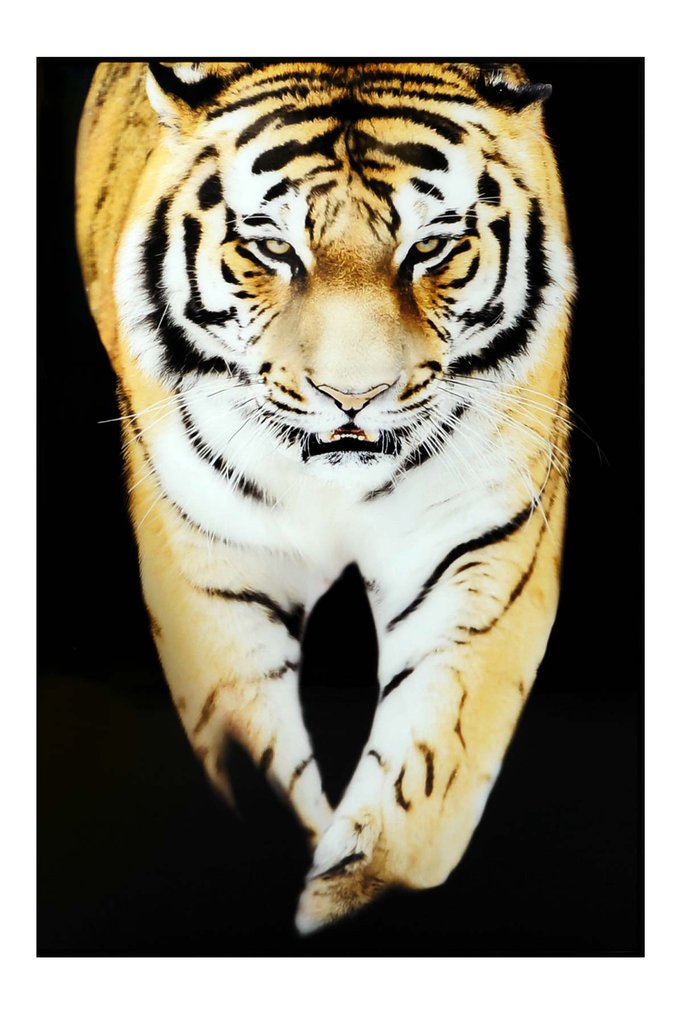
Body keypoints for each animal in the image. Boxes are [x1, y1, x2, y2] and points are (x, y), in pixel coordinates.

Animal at [75, 60, 574, 934]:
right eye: (274, 247)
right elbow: (251, 751)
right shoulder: (213, 572)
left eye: (430, 246)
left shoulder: (480, 557)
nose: (353, 396)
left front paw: (344, 891)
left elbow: (424, 781)